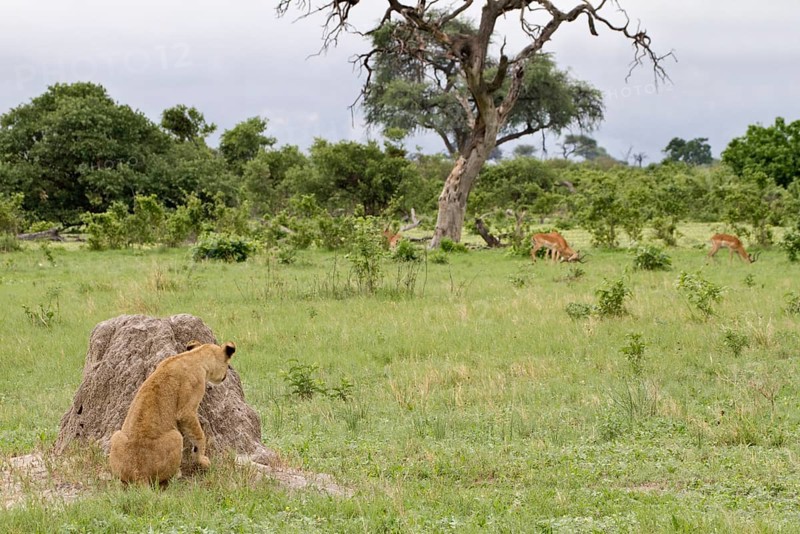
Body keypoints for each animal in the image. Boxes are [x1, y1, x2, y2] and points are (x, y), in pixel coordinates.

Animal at [109, 340, 236, 485]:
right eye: (228, 365)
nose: (225, 376)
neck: (195, 355)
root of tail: (138, 474)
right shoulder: (186, 411)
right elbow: (199, 436)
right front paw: (202, 460)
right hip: (176, 436)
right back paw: (177, 474)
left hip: (116, 436)